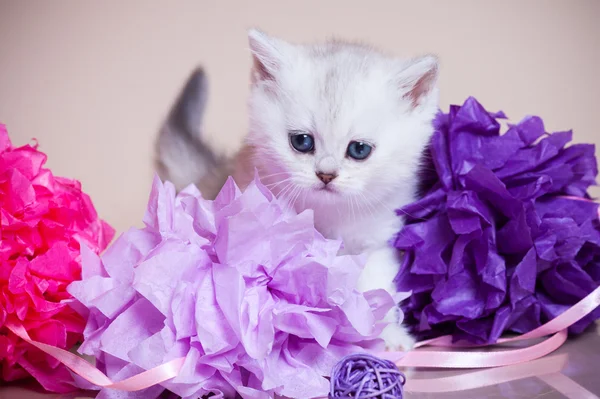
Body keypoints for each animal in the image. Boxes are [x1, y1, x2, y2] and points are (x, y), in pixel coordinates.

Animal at [155, 30, 438, 350]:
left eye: (359, 149)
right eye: (302, 142)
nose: (326, 174)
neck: (326, 216)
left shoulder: (376, 245)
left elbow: (378, 292)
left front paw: (389, 335)